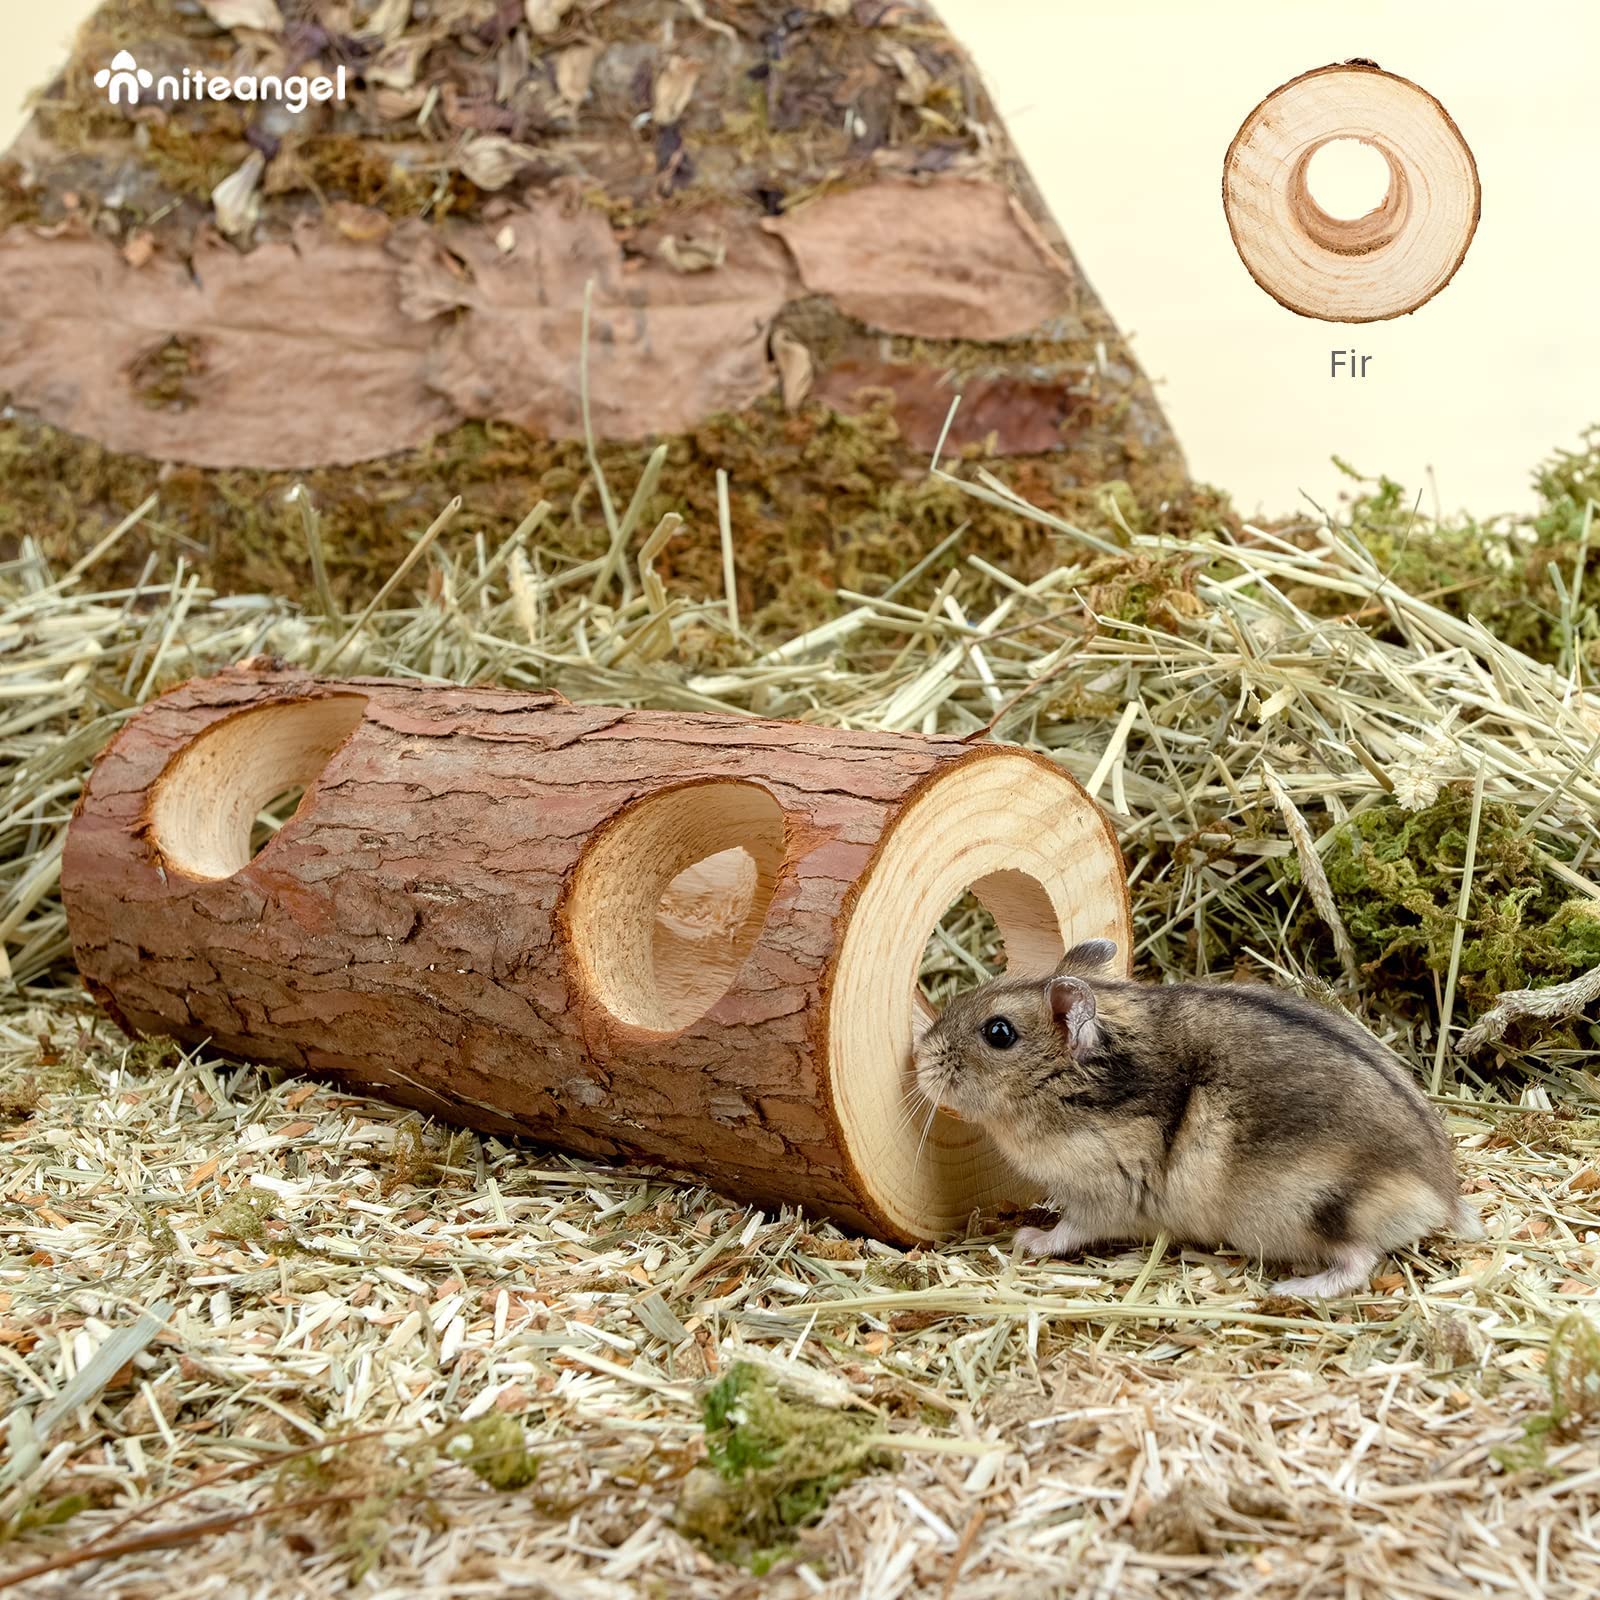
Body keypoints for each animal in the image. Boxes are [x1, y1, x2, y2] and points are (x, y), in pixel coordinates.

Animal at [912, 939, 1482, 1297]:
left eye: (999, 1033)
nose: (919, 1055)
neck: (1074, 1089)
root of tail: (1444, 1196)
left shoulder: (1102, 1194)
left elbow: (1068, 1229)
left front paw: (1026, 1240)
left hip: (1312, 1208)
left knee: (1360, 1261)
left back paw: (1293, 1289)